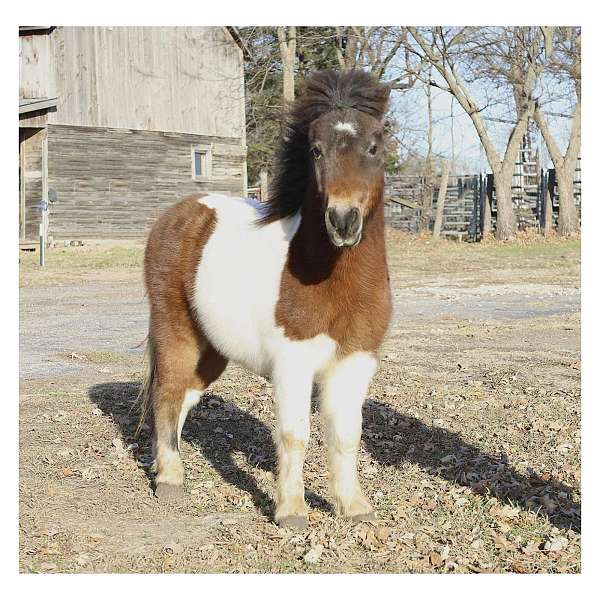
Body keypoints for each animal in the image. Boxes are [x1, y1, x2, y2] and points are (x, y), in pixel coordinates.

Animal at [141, 71, 394, 528]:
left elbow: (347, 435)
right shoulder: (293, 362)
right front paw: (290, 509)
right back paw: (169, 480)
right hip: (175, 330)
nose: (343, 221)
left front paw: (354, 506)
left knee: (185, 396)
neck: (333, 281)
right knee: (167, 393)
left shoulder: (356, 359)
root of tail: (179, 214)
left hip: (211, 350)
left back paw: (164, 466)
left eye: (374, 146)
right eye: (315, 149)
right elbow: (294, 435)